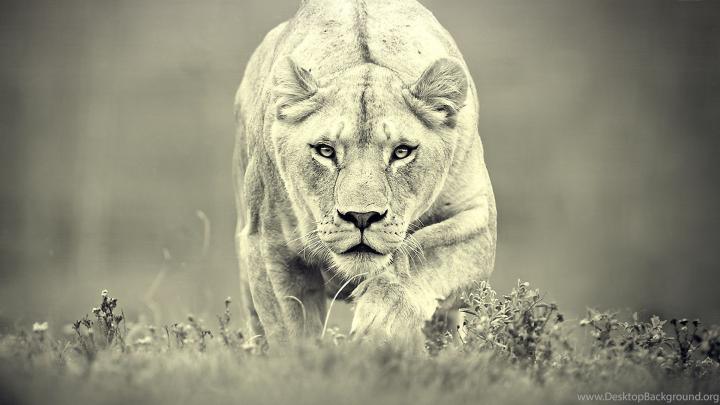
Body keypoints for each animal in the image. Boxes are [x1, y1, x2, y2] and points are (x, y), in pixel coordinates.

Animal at [233, 0, 496, 348]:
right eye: (325, 150)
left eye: (401, 151)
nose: (361, 217)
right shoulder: (269, 243)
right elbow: (292, 331)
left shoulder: (478, 220)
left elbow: (422, 253)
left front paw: (379, 322)